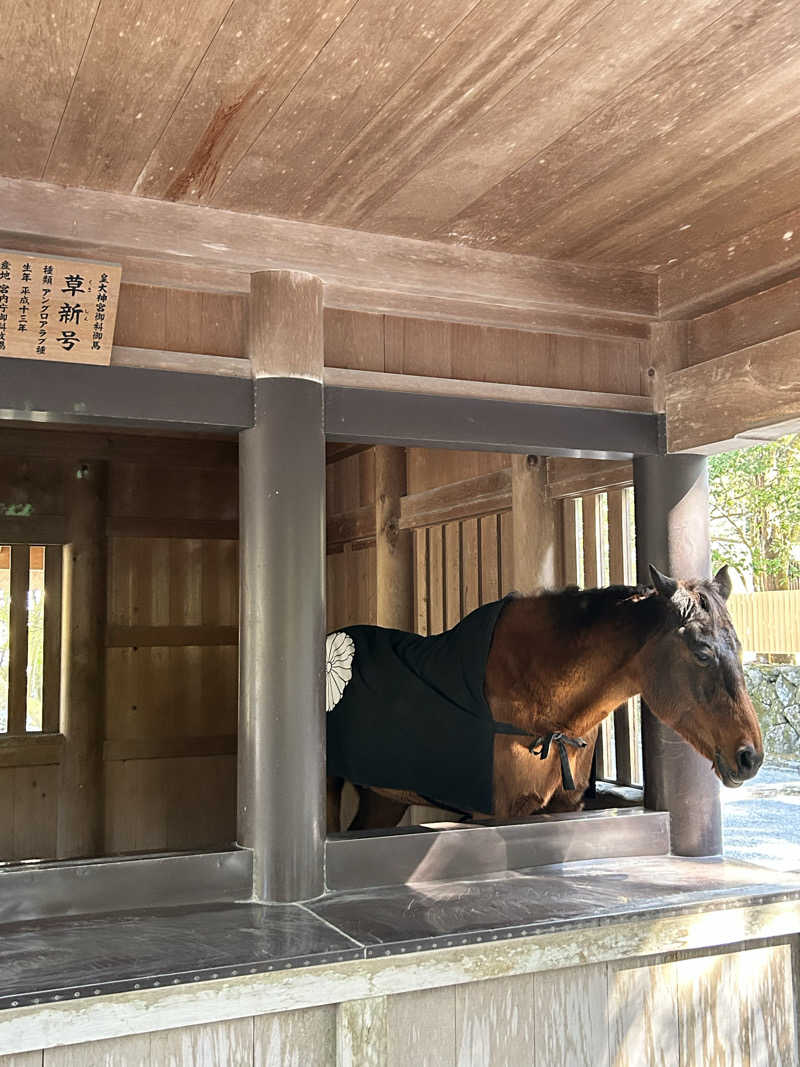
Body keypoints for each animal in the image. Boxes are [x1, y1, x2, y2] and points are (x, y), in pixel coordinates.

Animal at [325, 565, 764, 831]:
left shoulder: (565, 808)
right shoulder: (494, 815)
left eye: (740, 646)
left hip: (383, 794)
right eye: (702, 652)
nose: (750, 756)